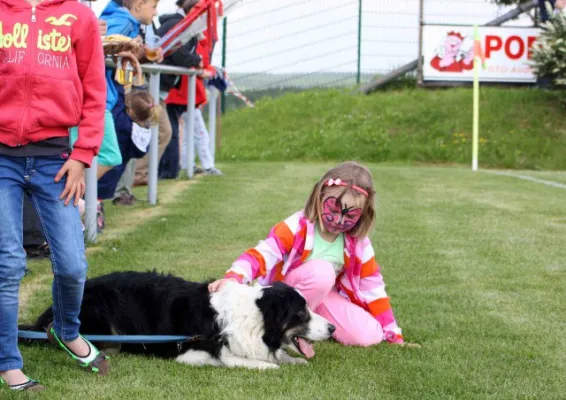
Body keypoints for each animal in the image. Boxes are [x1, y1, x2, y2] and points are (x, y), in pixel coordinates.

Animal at [24, 270, 338, 370]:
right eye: (301, 312)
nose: (333, 328)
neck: (257, 319)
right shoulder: (190, 353)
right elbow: (244, 361)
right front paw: (271, 364)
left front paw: (292, 359)